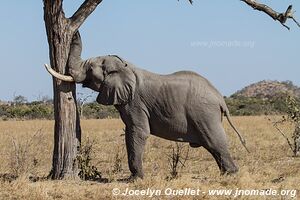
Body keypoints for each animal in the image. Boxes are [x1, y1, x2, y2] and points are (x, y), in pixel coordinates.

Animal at [45, 31, 248, 180]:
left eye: (89, 69)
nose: (75, 32)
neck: (125, 66)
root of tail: (220, 98)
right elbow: (130, 132)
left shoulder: (135, 102)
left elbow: (138, 132)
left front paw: (134, 180)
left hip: (204, 113)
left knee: (215, 142)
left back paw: (231, 175)